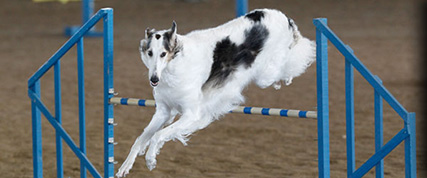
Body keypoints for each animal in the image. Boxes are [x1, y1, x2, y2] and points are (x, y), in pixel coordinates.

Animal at [115, 8, 316, 177]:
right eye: (149, 52)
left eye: (163, 54)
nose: (154, 79)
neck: (176, 64)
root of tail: (282, 16)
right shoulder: (164, 111)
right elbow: (141, 138)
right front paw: (126, 166)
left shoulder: (192, 114)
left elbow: (158, 135)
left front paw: (150, 158)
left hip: (266, 73)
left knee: (294, 58)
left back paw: (287, 77)